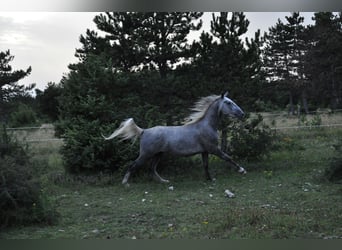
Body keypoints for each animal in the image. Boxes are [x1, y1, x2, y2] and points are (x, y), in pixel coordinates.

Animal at [103, 91, 247, 185]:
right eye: (228, 102)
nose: (242, 114)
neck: (206, 125)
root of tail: (144, 131)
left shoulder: (205, 151)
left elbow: (206, 165)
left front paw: (210, 179)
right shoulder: (213, 149)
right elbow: (228, 158)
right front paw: (242, 170)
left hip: (158, 154)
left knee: (152, 168)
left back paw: (164, 181)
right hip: (146, 154)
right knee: (133, 165)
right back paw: (125, 183)